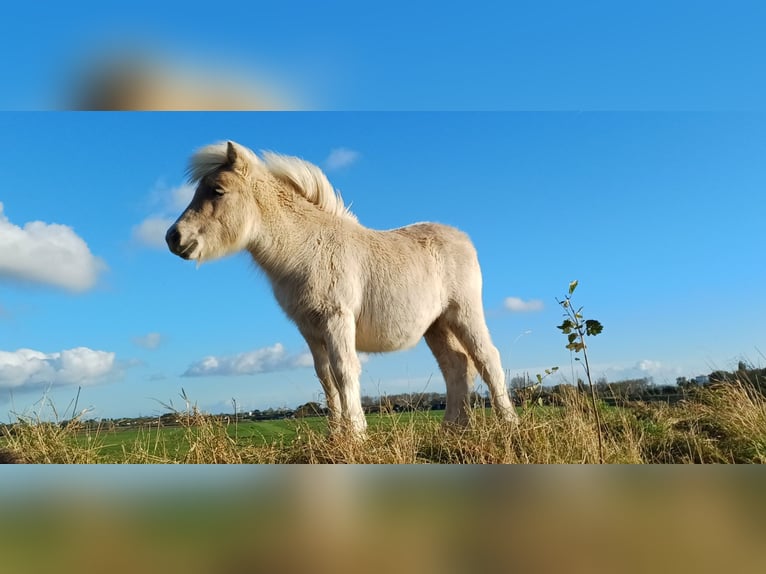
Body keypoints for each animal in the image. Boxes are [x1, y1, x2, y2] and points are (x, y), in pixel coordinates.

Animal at [165, 141, 520, 436]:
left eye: (217, 191)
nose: (173, 237)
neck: (307, 249)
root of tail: (462, 238)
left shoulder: (337, 319)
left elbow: (345, 370)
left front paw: (356, 434)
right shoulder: (309, 330)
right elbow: (326, 378)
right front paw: (335, 435)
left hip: (464, 313)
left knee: (487, 359)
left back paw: (508, 423)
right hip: (436, 325)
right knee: (456, 366)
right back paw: (453, 430)